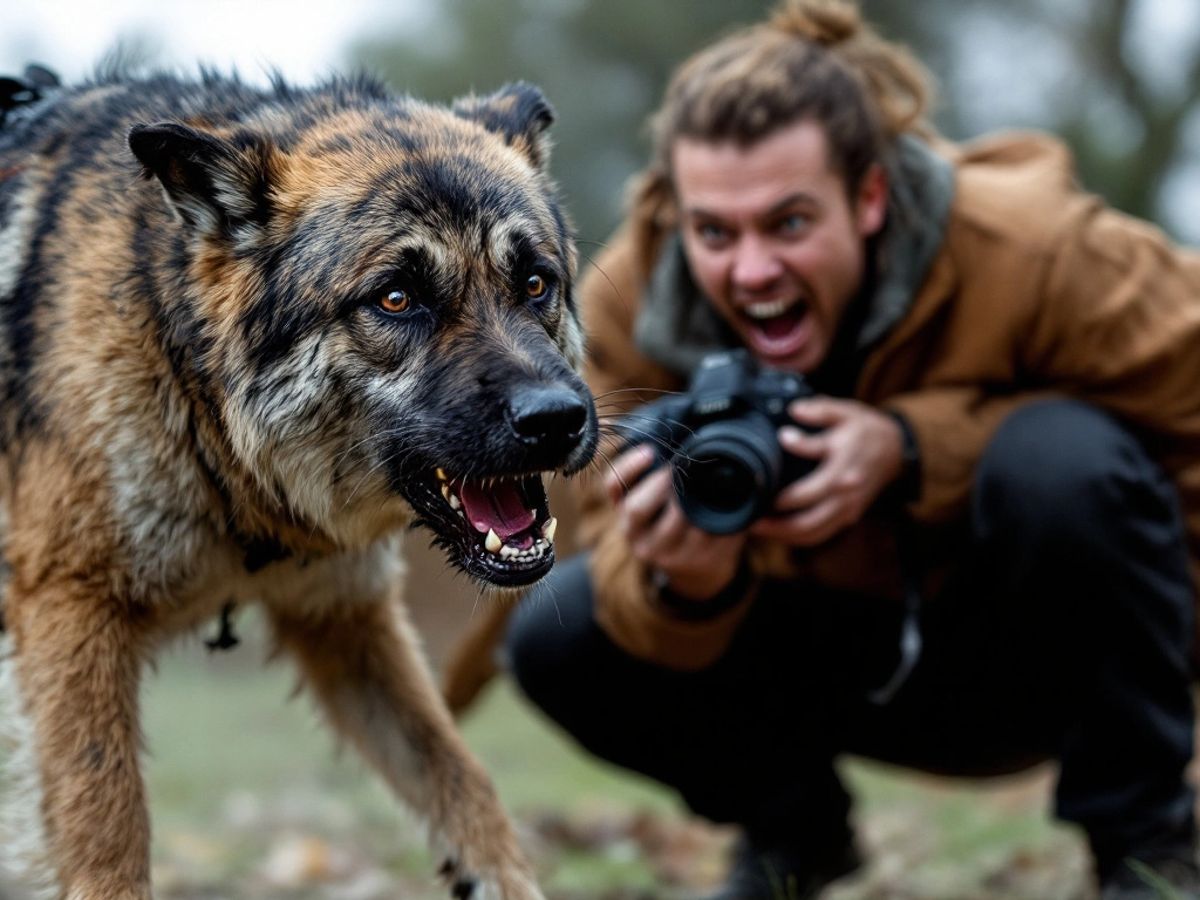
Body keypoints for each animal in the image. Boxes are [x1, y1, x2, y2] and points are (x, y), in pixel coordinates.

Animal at [0, 65, 597, 900]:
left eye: (536, 283)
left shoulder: (344, 615)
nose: (557, 420)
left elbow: (461, 779)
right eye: (396, 299)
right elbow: (107, 832)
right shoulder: (69, 613)